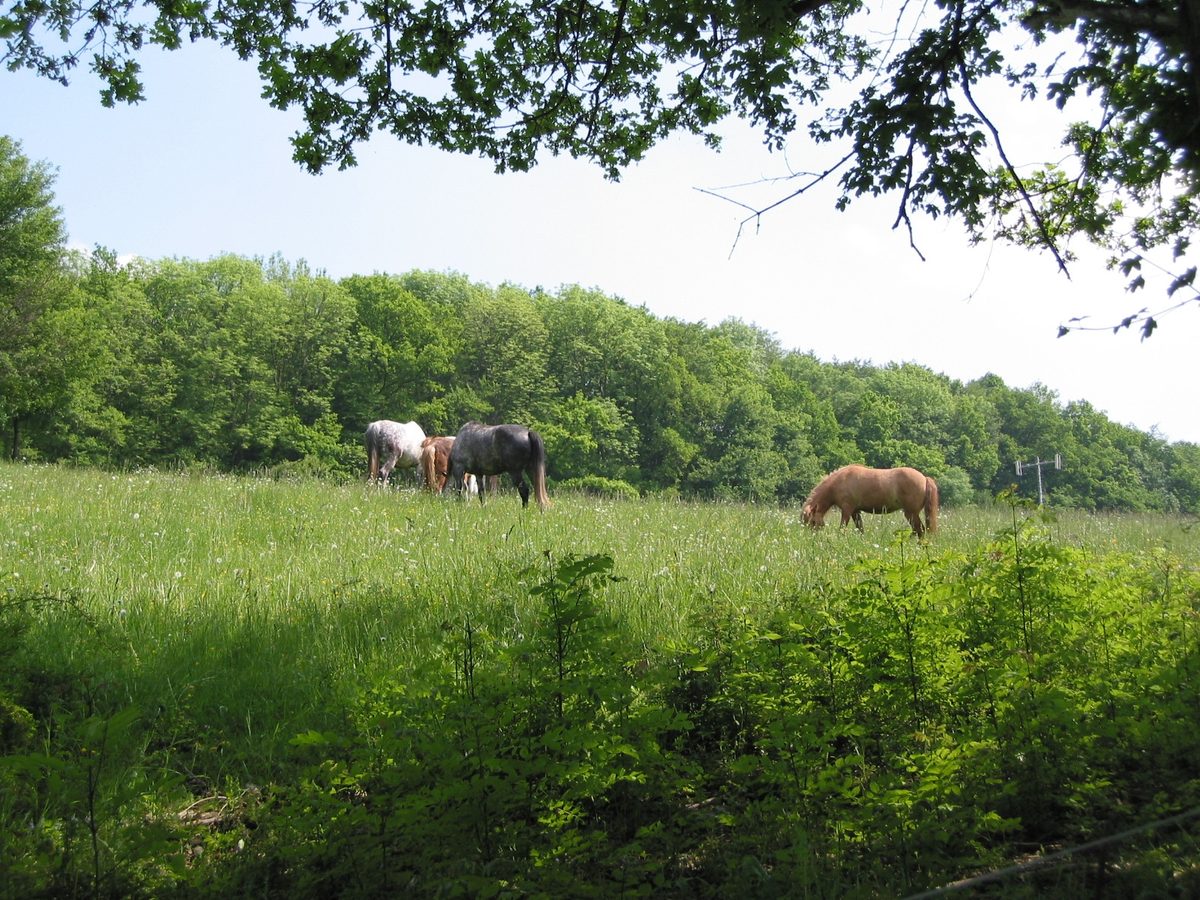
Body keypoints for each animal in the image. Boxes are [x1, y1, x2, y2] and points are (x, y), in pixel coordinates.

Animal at [801, 465, 939, 537]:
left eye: (812, 522)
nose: (812, 538)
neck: (839, 481)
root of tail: (924, 478)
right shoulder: (855, 512)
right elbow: (860, 529)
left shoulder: (847, 510)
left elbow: (842, 528)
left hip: (911, 513)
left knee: (919, 530)